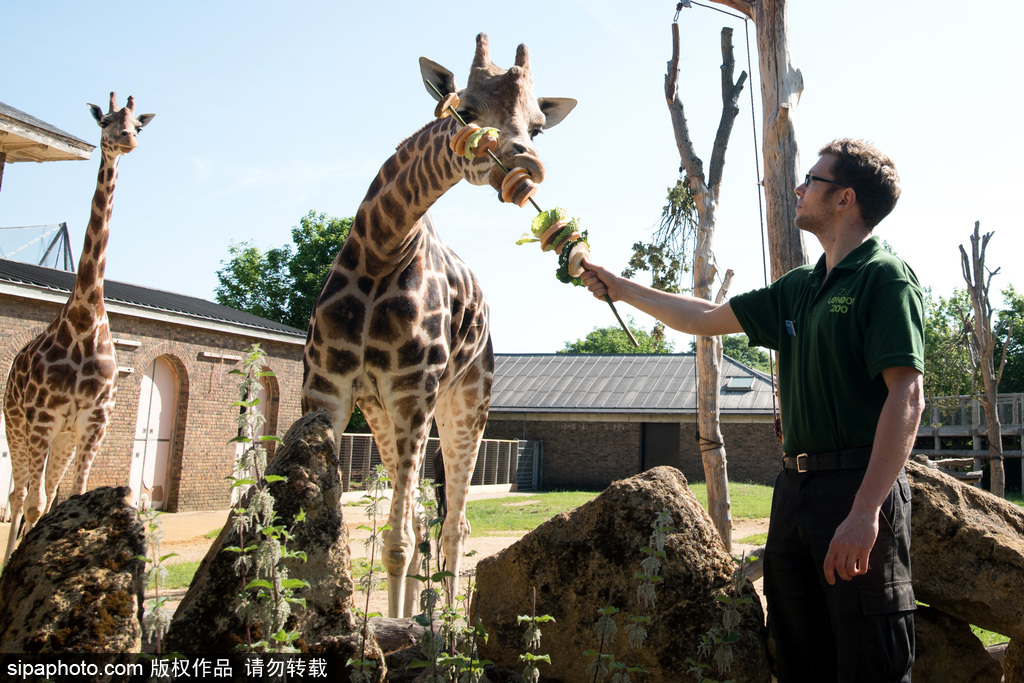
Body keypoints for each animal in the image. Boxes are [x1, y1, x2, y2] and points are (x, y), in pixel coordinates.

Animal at [3, 93, 154, 565]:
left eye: (137, 126)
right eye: (106, 121)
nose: (125, 140)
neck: (85, 318)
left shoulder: (93, 422)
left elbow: (70, 497)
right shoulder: (41, 419)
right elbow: (35, 504)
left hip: (62, 439)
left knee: (44, 493)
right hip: (19, 427)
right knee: (18, 496)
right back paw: (9, 560)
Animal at [301, 33, 577, 618]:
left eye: (538, 125)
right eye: (466, 111)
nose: (528, 164)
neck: (381, 250)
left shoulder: (413, 392)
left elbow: (399, 540)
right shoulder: (327, 391)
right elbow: (326, 530)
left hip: (465, 405)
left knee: (453, 524)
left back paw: (448, 622)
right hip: (379, 411)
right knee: (422, 519)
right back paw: (420, 617)